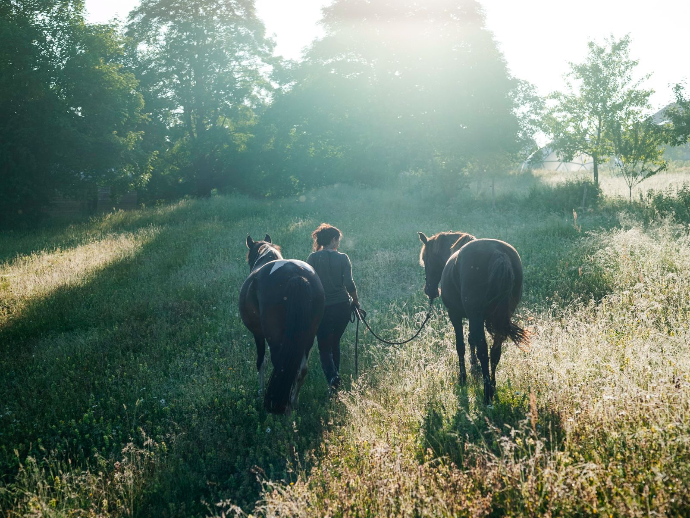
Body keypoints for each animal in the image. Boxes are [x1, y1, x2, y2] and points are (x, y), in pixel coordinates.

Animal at [239, 234, 325, 414]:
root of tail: (296, 276)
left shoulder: (258, 334)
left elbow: (261, 362)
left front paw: (260, 393)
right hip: (308, 337)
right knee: (300, 370)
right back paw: (292, 404)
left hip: (275, 338)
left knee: (281, 367)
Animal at [418, 231, 528, 404]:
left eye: (426, 260)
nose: (430, 290)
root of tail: (498, 253)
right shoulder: (473, 318)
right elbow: (471, 340)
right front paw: (474, 368)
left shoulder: (455, 315)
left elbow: (461, 345)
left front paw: (463, 377)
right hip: (499, 318)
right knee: (495, 351)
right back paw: (492, 385)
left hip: (475, 317)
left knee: (484, 351)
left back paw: (487, 393)